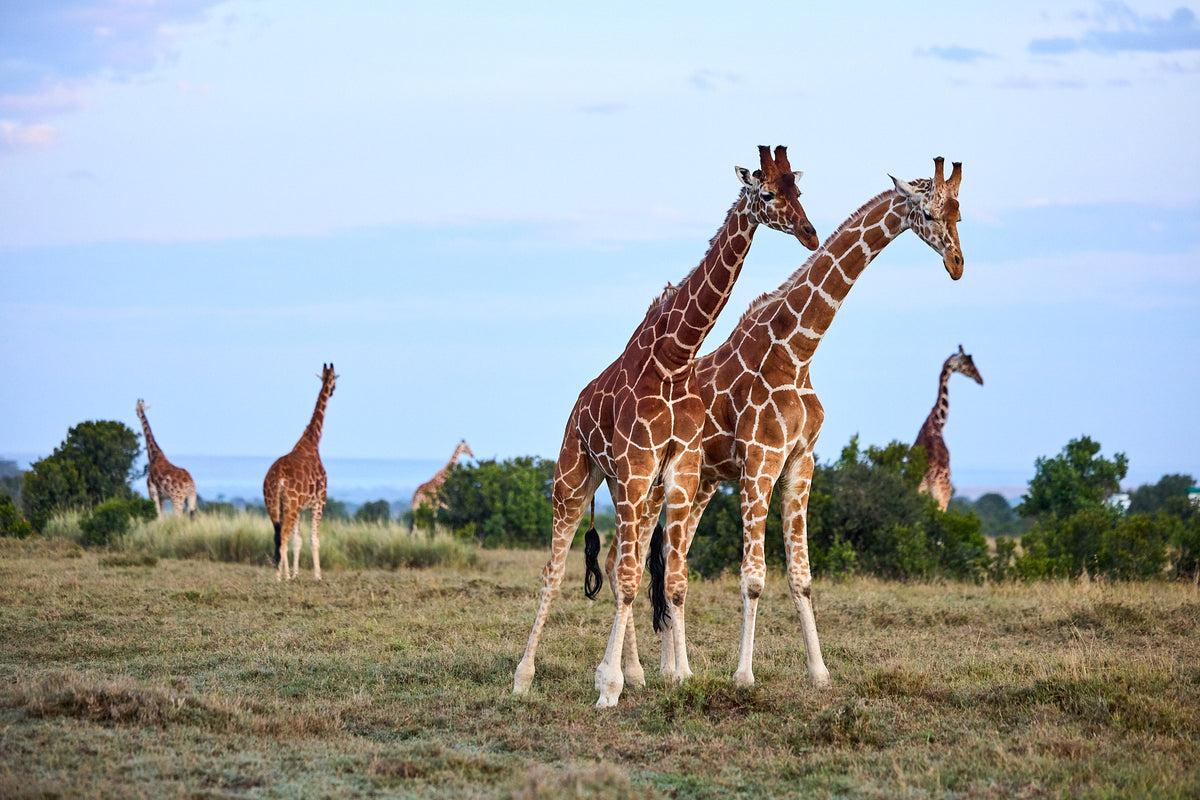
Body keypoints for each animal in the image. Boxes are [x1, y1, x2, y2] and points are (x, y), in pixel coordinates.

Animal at [263, 363, 337, 581]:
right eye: (334, 380)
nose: (332, 390)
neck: (312, 441)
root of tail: (278, 479)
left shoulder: (300, 507)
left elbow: (298, 541)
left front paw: (295, 574)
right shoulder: (319, 502)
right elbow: (314, 540)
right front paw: (317, 576)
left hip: (274, 505)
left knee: (278, 536)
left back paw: (282, 575)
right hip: (291, 506)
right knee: (283, 536)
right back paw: (281, 577)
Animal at [513, 146, 820, 707]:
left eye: (799, 190)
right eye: (767, 193)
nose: (809, 233)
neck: (676, 356)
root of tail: (576, 407)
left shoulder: (676, 469)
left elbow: (659, 577)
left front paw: (639, 677)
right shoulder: (636, 466)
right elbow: (631, 578)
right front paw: (608, 688)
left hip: (629, 486)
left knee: (619, 565)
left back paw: (632, 672)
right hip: (576, 476)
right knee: (554, 571)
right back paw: (524, 676)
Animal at [621, 157, 964, 690]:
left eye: (958, 214)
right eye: (927, 213)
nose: (956, 264)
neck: (798, 351)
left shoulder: (801, 462)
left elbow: (801, 577)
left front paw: (819, 673)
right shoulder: (760, 462)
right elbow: (753, 577)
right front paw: (743, 675)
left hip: (701, 484)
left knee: (673, 563)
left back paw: (674, 669)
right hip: (657, 479)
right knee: (638, 559)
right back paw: (640, 673)